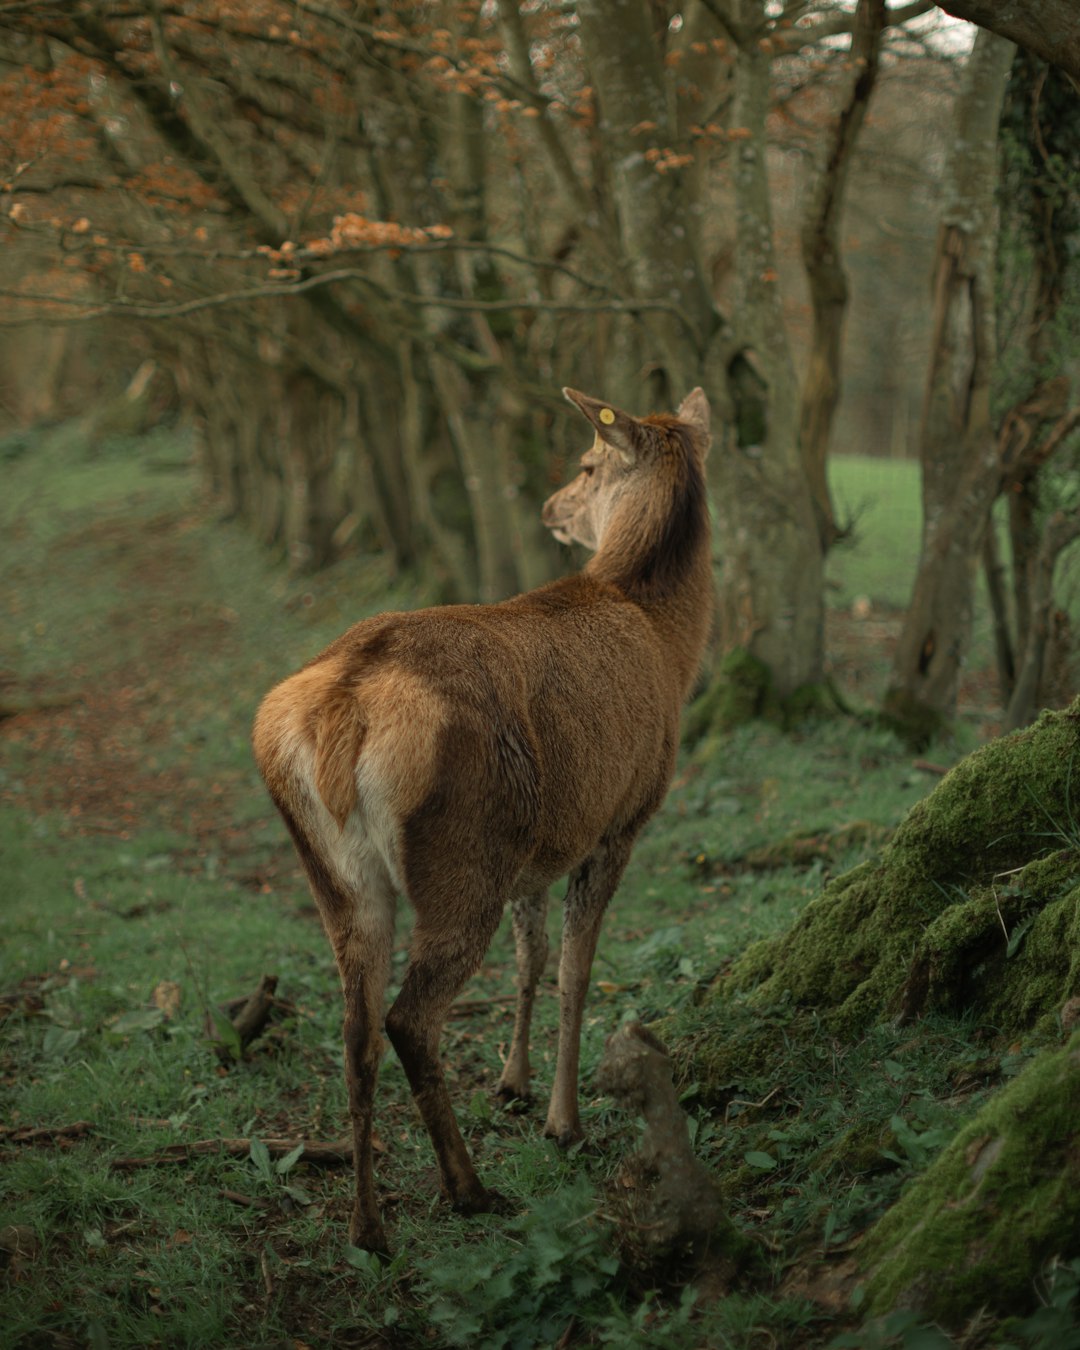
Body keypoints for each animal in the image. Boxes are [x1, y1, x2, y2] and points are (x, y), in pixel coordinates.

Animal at [248, 386, 712, 1247]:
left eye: (585, 466)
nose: (552, 506)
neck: (671, 644)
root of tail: (342, 712)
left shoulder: (539, 849)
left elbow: (532, 959)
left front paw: (513, 1082)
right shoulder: (621, 819)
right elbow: (574, 968)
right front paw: (563, 1119)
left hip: (339, 867)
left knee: (355, 1027)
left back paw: (367, 1225)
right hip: (463, 847)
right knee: (408, 1019)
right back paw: (467, 1188)